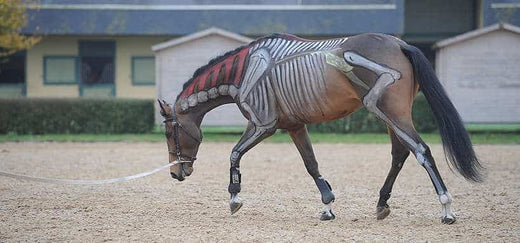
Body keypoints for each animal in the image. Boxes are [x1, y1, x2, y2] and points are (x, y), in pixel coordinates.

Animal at [156, 32, 486, 224]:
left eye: (170, 132)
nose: (176, 173)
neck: (248, 68)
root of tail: (400, 43)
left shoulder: (263, 125)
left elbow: (235, 154)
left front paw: (235, 197)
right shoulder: (294, 126)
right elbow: (311, 164)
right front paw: (327, 205)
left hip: (389, 111)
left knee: (421, 151)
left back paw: (446, 208)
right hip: (393, 116)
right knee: (400, 155)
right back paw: (381, 204)